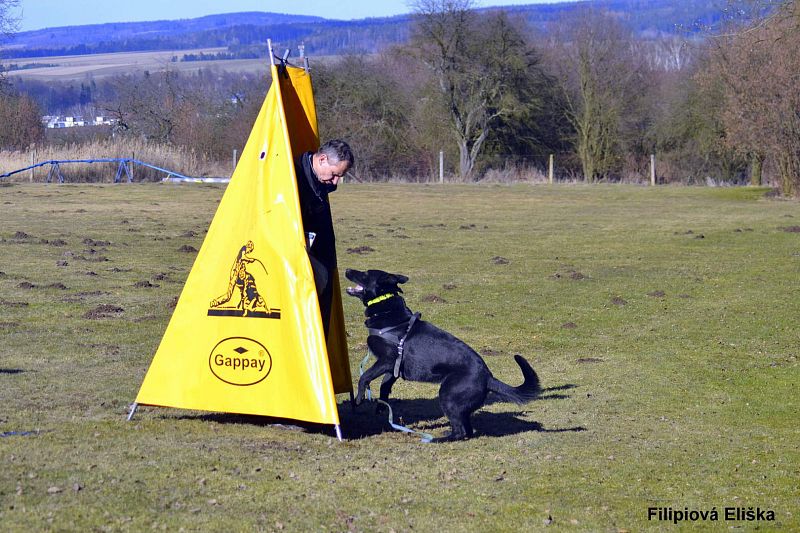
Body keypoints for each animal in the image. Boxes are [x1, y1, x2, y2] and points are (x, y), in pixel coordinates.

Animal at [346, 268, 540, 438]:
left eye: (365, 273)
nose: (347, 269)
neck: (386, 308)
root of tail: (488, 377)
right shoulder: (393, 367)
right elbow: (384, 386)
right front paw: (381, 406)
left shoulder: (386, 360)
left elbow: (364, 377)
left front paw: (358, 399)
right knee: (466, 431)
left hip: (447, 395)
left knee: (461, 431)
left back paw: (437, 439)